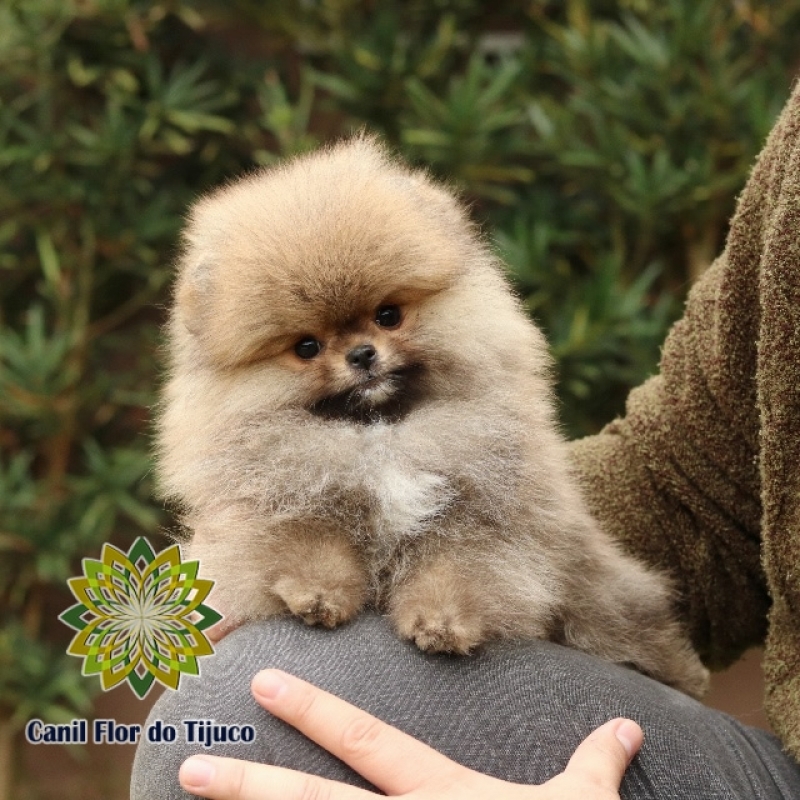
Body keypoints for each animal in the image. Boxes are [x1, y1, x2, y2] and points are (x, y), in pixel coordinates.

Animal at [159, 134, 708, 696]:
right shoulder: (280, 495)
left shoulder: (478, 513)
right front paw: (316, 593)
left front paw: (442, 622)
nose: (362, 354)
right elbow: (307, 541)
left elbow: (454, 567)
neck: (380, 436)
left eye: (388, 315)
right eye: (306, 347)